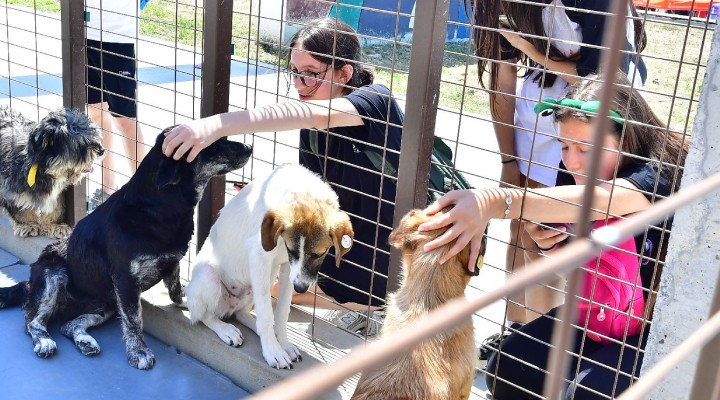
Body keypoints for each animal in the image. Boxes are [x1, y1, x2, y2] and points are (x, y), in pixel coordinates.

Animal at [0, 107, 105, 238]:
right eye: (82, 143)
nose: (102, 150)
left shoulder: (57, 193)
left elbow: (55, 207)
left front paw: (54, 225)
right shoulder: (11, 190)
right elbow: (20, 209)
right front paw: (28, 224)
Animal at [0, 130, 253, 368]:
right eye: (212, 144)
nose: (250, 147)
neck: (157, 209)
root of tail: (28, 285)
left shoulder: (172, 262)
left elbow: (175, 289)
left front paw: (184, 299)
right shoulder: (125, 282)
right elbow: (134, 320)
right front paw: (139, 352)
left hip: (105, 306)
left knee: (69, 325)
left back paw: (85, 341)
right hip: (54, 275)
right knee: (32, 323)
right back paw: (44, 341)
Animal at [187, 162, 352, 368]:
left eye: (320, 254)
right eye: (292, 250)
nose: (301, 288)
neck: (302, 191)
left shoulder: (288, 268)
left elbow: (281, 312)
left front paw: (284, 344)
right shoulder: (260, 258)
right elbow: (266, 314)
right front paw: (273, 351)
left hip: (261, 283)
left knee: (241, 313)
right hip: (209, 277)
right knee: (204, 316)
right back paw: (226, 330)